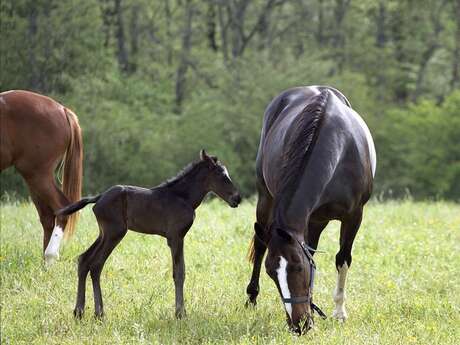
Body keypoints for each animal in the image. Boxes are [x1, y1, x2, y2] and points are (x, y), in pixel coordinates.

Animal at [0, 90, 82, 262]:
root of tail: (62, 109)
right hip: (34, 179)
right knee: (48, 217)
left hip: (38, 175)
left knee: (60, 208)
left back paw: (50, 256)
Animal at [56, 149, 241, 318]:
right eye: (222, 176)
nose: (237, 198)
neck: (183, 197)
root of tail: (99, 197)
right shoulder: (176, 237)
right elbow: (179, 273)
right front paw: (180, 313)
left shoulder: (176, 238)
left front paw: (181, 311)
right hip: (114, 233)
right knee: (96, 264)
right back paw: (98, 313)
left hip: (104, 233)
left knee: (84, 260)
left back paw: (80, 312)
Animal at [246, 86, 376, 334]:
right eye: (271, 273)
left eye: (298, 267)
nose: (298, 325)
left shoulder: (354, 216)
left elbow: (342, 258)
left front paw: (339, 313)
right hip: (266, 198)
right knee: (259, 245)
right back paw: (251, 298)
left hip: (318, 220)